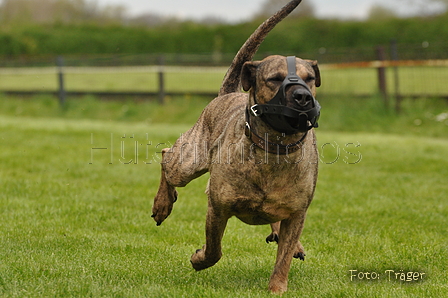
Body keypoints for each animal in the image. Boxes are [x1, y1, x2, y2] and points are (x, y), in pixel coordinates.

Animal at [152, 0, 320, 294]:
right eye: (275, 79)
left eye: (309, 78)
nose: (303, 97)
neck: (274, 149)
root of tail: (227, 94)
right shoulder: (218, 207)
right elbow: (214, 250)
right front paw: (199, 259)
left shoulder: (298, 212)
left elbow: (283, 258)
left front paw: (277, 288)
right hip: (187, 161)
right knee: (166, 157)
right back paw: (162, 203)